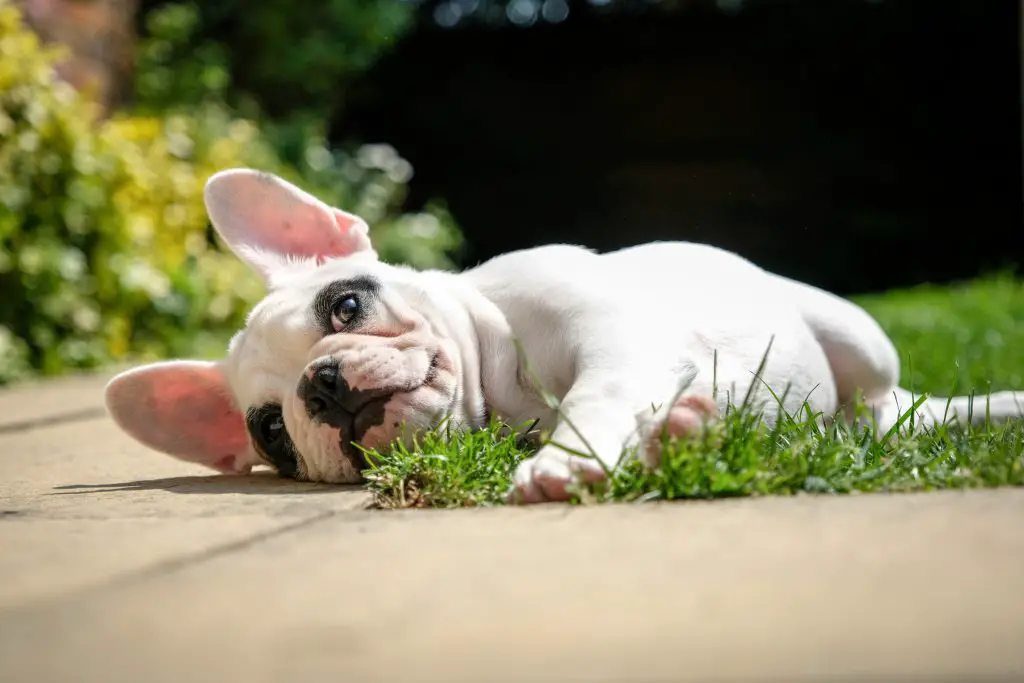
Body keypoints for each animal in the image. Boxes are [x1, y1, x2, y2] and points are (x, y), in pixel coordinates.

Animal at [103, 168, 1024, 505]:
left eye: (346, 304)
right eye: (271, 434)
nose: (320, 386)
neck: (501, 402)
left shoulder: (611, 337)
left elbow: (599, 390)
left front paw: (564, 460)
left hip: (860, 339)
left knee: (873, 408)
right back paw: (693, 431)